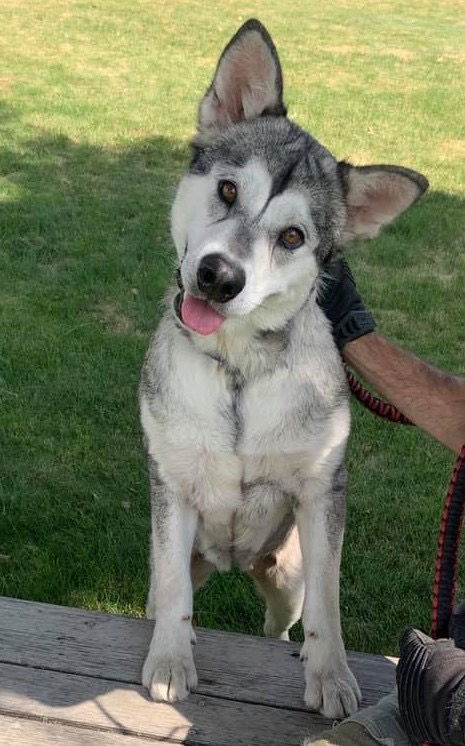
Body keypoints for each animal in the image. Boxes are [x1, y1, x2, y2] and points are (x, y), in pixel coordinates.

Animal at [139, 17, 428, 716]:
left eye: (293, 236)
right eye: (226, 189)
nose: (218, 276)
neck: (239, 368)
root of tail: (233, 562)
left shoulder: (323, 492)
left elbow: (330, 601)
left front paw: (332, 676)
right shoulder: (172, 487)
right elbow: (175, 596)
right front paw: (171, 659)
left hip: (286, 570)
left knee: (283, 620)